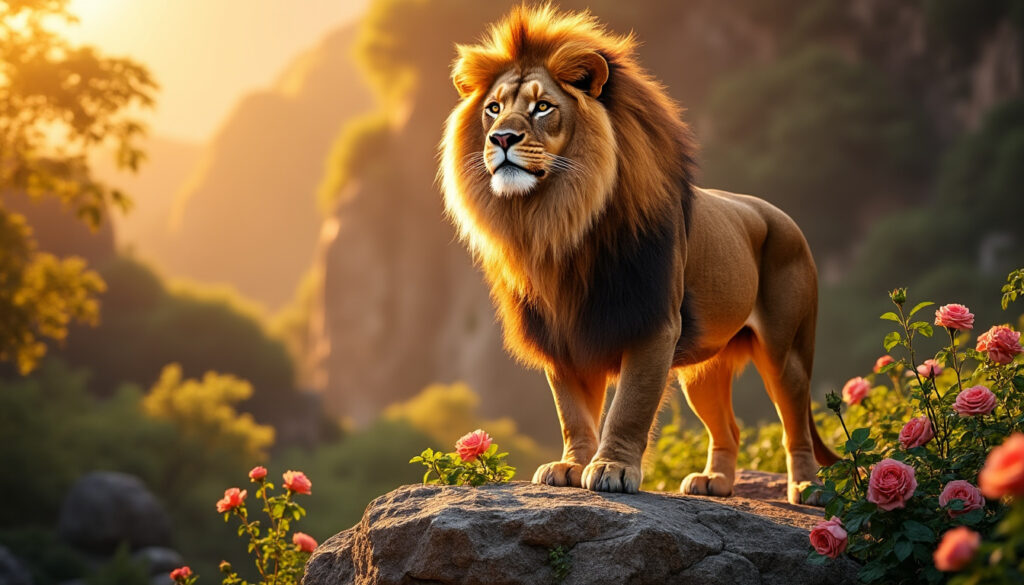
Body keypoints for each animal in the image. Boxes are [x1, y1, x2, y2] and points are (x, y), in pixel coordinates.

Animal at [439, 5, 839, 505]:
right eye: (493, 108)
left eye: (542, 107)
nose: (500, 138)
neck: (559, 225)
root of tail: (781, 215)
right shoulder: (563, 337)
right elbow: (572, 414)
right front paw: (571, 466)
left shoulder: (653, 324)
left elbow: (629, 406)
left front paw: (611, 468)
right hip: (704, 370)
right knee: (729, 428)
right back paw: (714, 483)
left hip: (786, 351)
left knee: (795, 425)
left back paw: (807, 486)